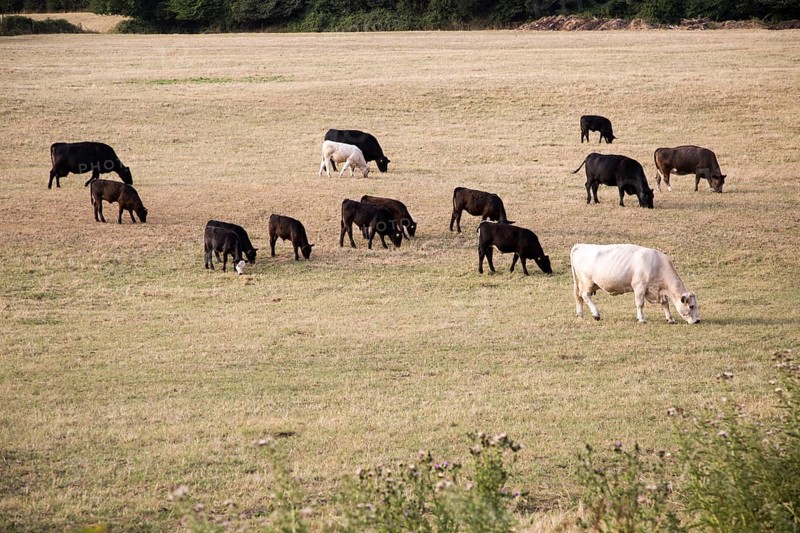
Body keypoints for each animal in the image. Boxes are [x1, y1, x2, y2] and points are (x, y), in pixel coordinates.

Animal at [570, 243, 700, 324]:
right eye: (691, 306)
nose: (698, 320)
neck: (657, 265)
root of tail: (582, 245)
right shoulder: (639, 287)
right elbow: (640, 304)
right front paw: (641, 319)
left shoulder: (659, 291)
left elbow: (665, 304)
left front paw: (670, 319)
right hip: (587, 281)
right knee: (585, 295)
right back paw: (596, 313)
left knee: (579, 297)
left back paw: (580, 314)